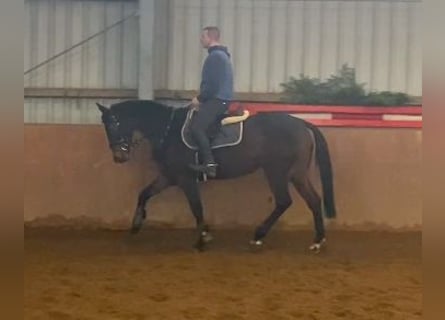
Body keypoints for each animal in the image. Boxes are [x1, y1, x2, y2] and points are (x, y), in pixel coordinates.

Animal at [95, 100, 334, 252]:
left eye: (114, 123)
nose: (118, 157)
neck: (168, 130)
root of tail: (302, 123)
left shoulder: (185, 178)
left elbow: (196, 207)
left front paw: (202, 239)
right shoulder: (170, 176)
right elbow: (144, 193)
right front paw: (136, 224)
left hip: (276, 171)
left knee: (284, 201)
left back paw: (258, 236)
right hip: (297, 173)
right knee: (314, 200)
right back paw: (317, 241)